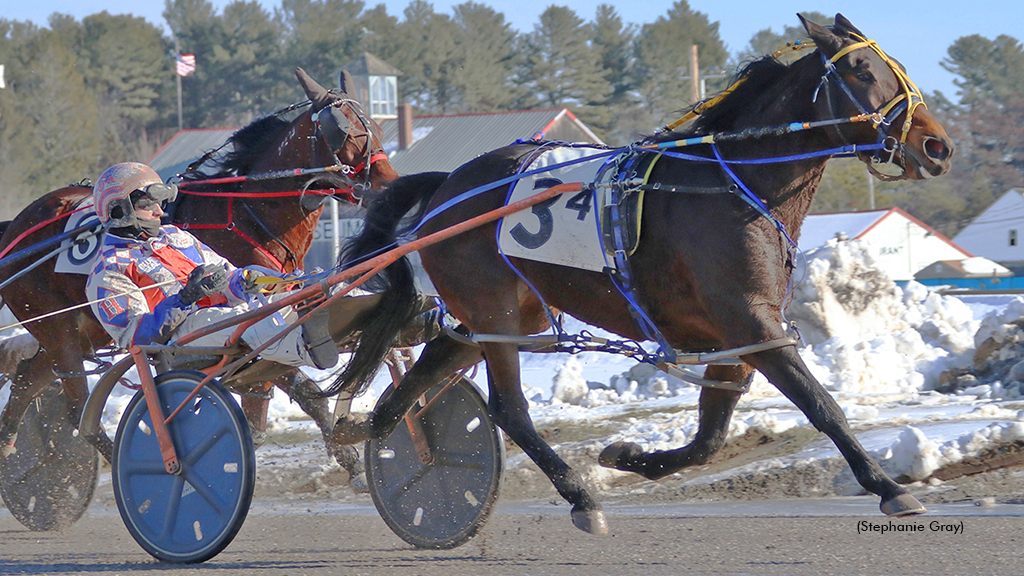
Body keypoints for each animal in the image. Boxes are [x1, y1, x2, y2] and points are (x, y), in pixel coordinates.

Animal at [335, 13, 958, 532]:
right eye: (862, 69)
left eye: (899, 69)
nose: (938, 146)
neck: (730, 185)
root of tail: (447, 187)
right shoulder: (750, 323)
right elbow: (822, 405)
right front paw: (888, 486)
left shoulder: (732, 337)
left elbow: (709, 439)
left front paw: (630, 455)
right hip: (498, 313)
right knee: (509, 408)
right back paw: (580, 498)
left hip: (511, 311)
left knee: (435, 363)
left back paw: (375, 430)